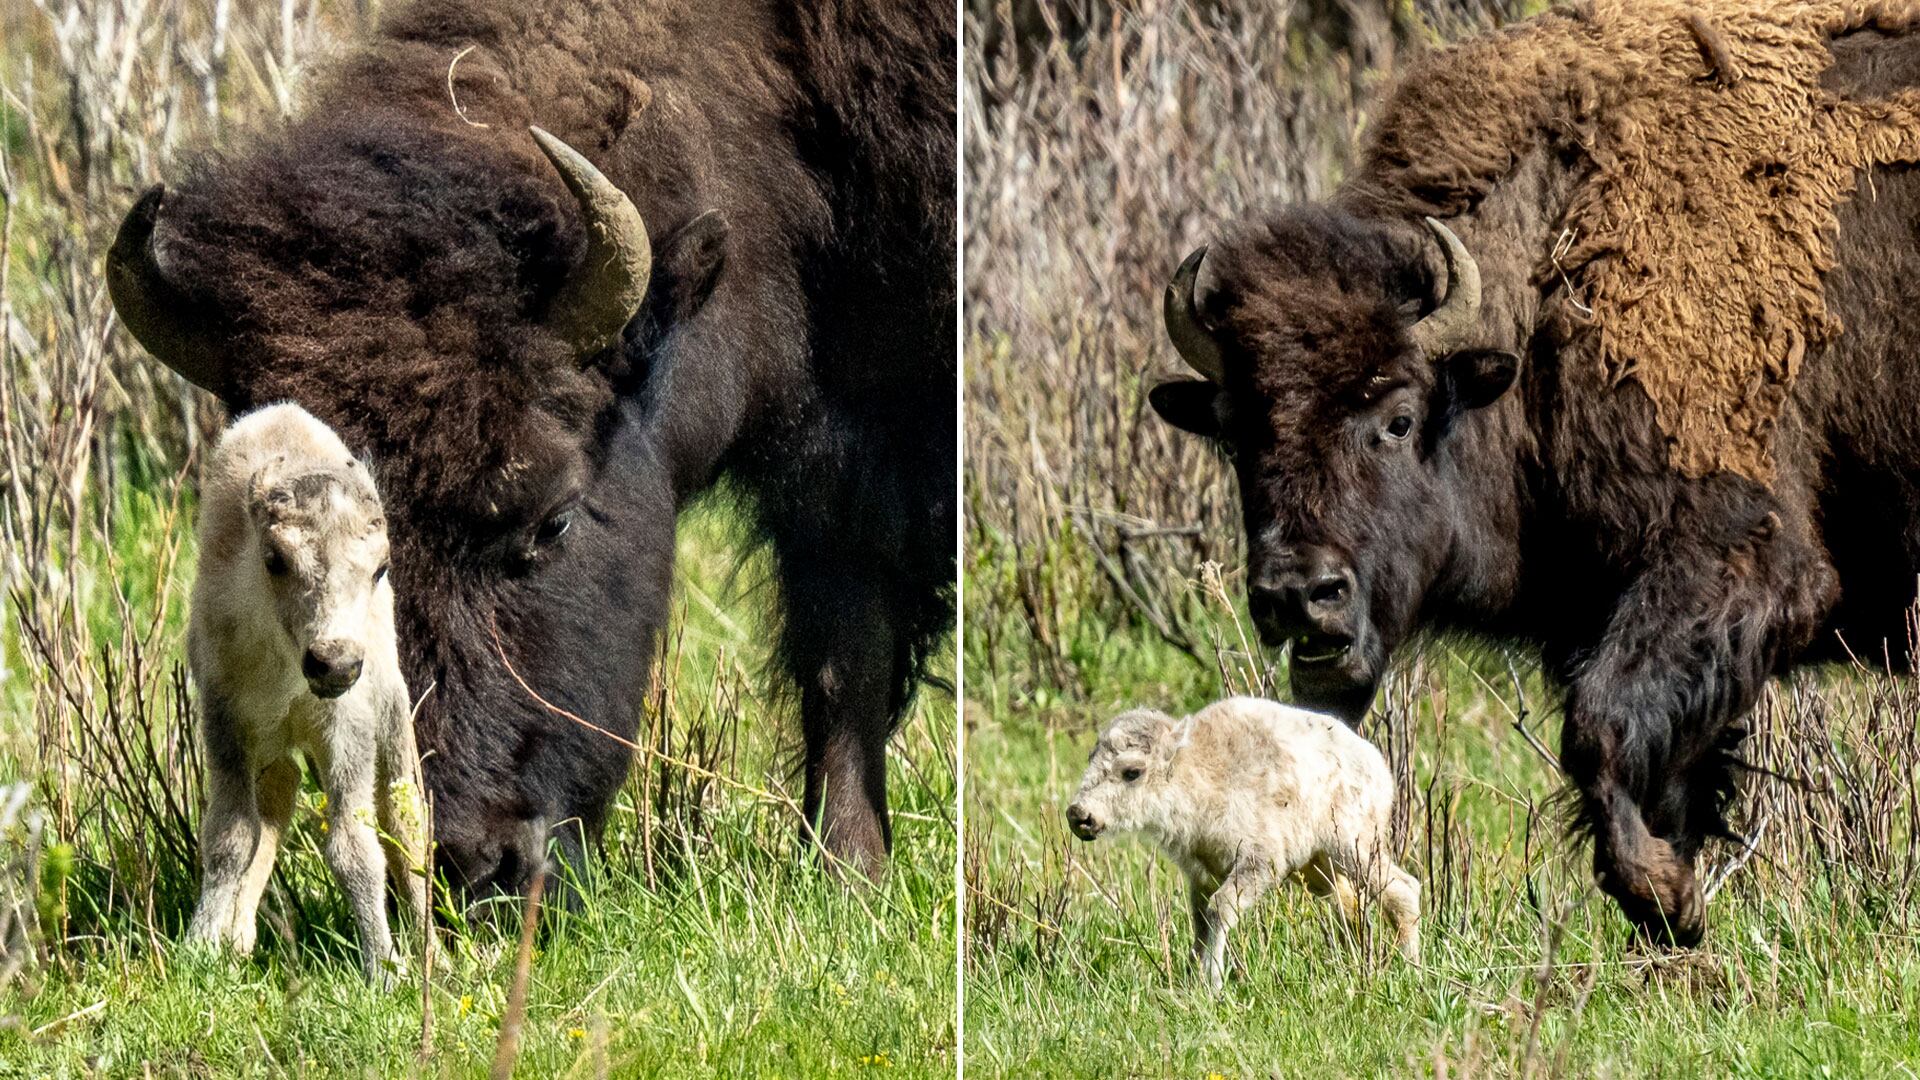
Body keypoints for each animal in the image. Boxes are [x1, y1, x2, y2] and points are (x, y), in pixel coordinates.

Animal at [108, 0, 954, 895]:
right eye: (273, 552)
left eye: (556, 520)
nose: (470, 863)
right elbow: (842, 647)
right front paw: (850, 872)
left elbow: (852, 649)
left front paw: (847, 873)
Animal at [1148, 5, 1920, 944]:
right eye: (1232, 435)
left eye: (1398, 418)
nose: (1301, 596)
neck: (1554, 276)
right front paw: (1674, 907)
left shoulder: (1745, 562)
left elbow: (1599, 730)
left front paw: (1665, 896)